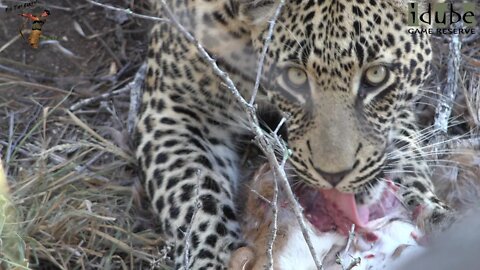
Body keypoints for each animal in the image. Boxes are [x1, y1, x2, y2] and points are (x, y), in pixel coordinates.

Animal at [135, 1, 450, 268]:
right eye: (295, 77)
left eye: (376, 75)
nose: (334, 177)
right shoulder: (173, 105)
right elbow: (197, 204)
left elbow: (409, 157)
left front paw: (436, 218)